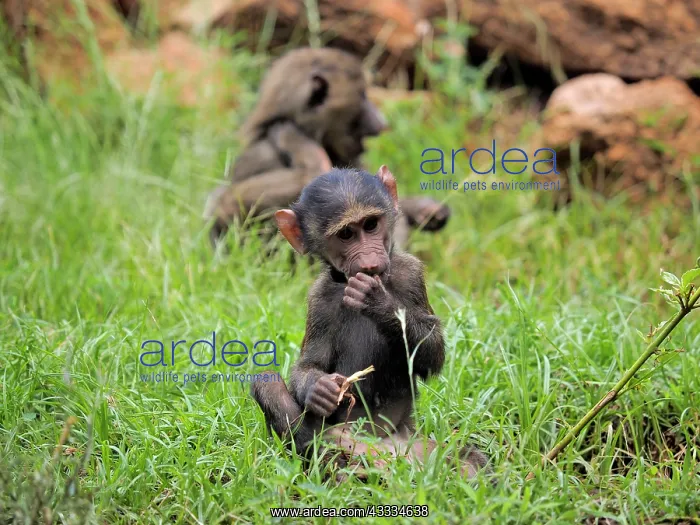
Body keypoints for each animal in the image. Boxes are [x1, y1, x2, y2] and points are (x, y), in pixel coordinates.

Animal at [251, 166, 489, 479]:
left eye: (371, 225)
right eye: (346, 234)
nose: (369, 261)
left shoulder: (411, 274)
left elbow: (432, 352)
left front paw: (378, 302)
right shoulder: (318, 298)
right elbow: (310, 363)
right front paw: (319, 388)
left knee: (466, 460)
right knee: (267, 384)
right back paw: (325, 461)